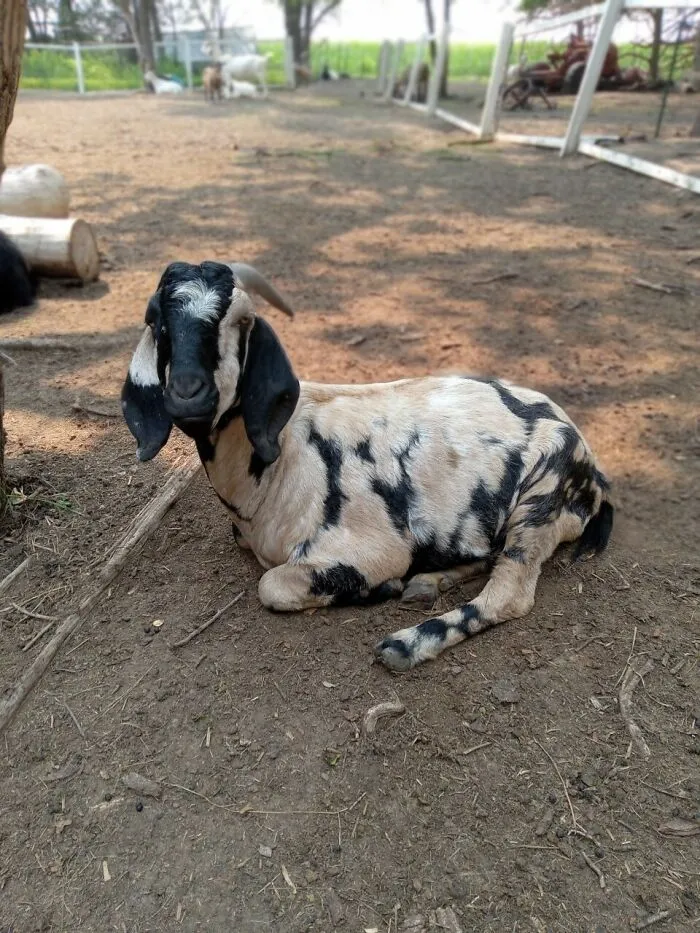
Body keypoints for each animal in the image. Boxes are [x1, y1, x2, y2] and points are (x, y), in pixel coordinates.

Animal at [121, 261, 614, 672]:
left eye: (242, 321)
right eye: (157, 322)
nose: (188, 392)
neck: (278, 465)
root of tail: (593, 470)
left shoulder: (370, 549)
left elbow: (273, 585)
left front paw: (380, 589)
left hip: (540, 501)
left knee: (509, 593)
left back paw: (408, 643)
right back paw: (427, 582)